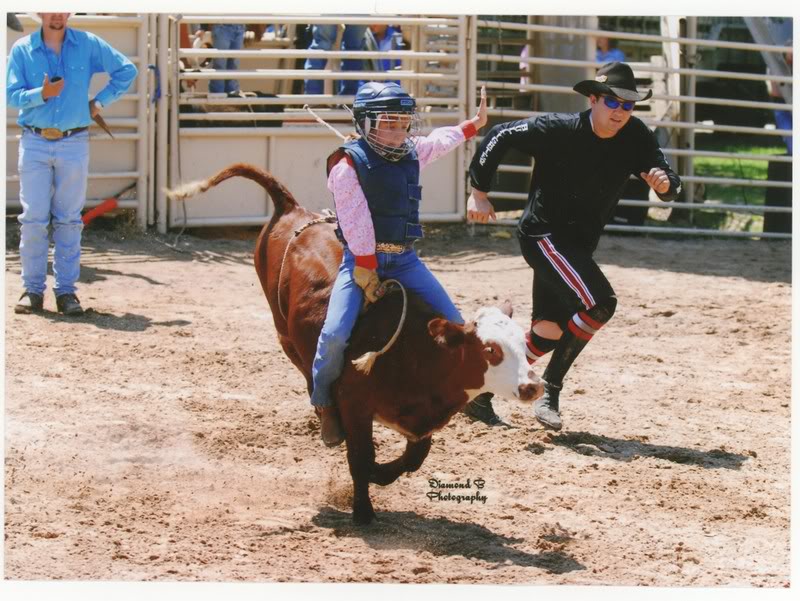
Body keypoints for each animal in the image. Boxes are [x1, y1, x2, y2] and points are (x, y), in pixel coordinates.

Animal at [166, 163, 543, 524]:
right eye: (491, 350)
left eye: (522, 344)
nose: (532, 387)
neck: (418, 354)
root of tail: (292, 210)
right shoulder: (355, 405)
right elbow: (361, 458)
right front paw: (363, 511)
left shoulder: (420, 423)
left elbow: (413, 458)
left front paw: (382, 475)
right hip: (284, 333)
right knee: (310, 372)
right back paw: (328, 420)